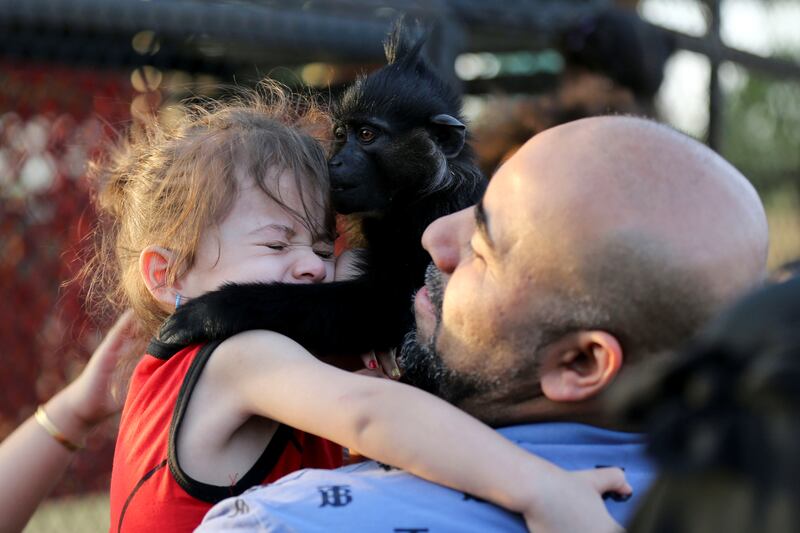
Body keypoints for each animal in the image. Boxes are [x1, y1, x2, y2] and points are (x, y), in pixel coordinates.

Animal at [159, 27, 484, 356]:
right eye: (341, 134)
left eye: (366, 135)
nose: (335, 162)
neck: (416, 195)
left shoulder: (435, 215)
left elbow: (385, 306)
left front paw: (215, 310)